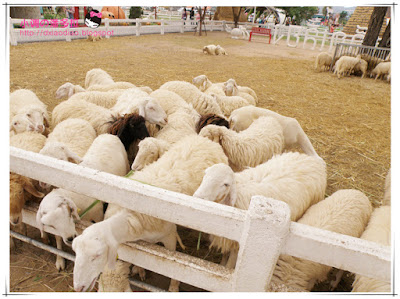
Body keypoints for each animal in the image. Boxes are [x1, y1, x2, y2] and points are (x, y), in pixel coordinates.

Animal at [72, 135, 228, 292]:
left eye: (97, 255)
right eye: (75, 251)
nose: (78, 287)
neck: (132, 216)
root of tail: (204, 139)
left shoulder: (170, 237)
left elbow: (173, 269)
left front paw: (173, 288)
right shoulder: (142, 243)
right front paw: (140, 270)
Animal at [194, 152, 328, 270]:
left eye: (226, 184)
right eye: (205, 174)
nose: (199, 197)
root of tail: (311, 160)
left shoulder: (236, 246)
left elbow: (229, 265)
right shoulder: (226, 237)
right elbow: (224, 256)